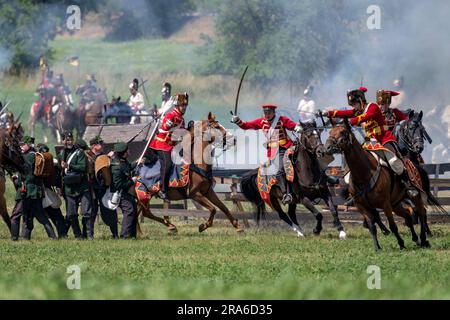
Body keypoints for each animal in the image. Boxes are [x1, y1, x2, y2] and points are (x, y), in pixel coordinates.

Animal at [326, 119, 430, 250]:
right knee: (407, 215)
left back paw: (424, 239)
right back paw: (416, 239)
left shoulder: (385, 204)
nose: (327, 147)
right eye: (330, 132)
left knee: (421, 212)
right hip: (396, 204)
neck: (364, 173)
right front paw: (377, 247)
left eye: (343, 132)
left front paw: (401, 243)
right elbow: (372, 226)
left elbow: (393, 226)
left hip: (414, 197)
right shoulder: (361, 206)